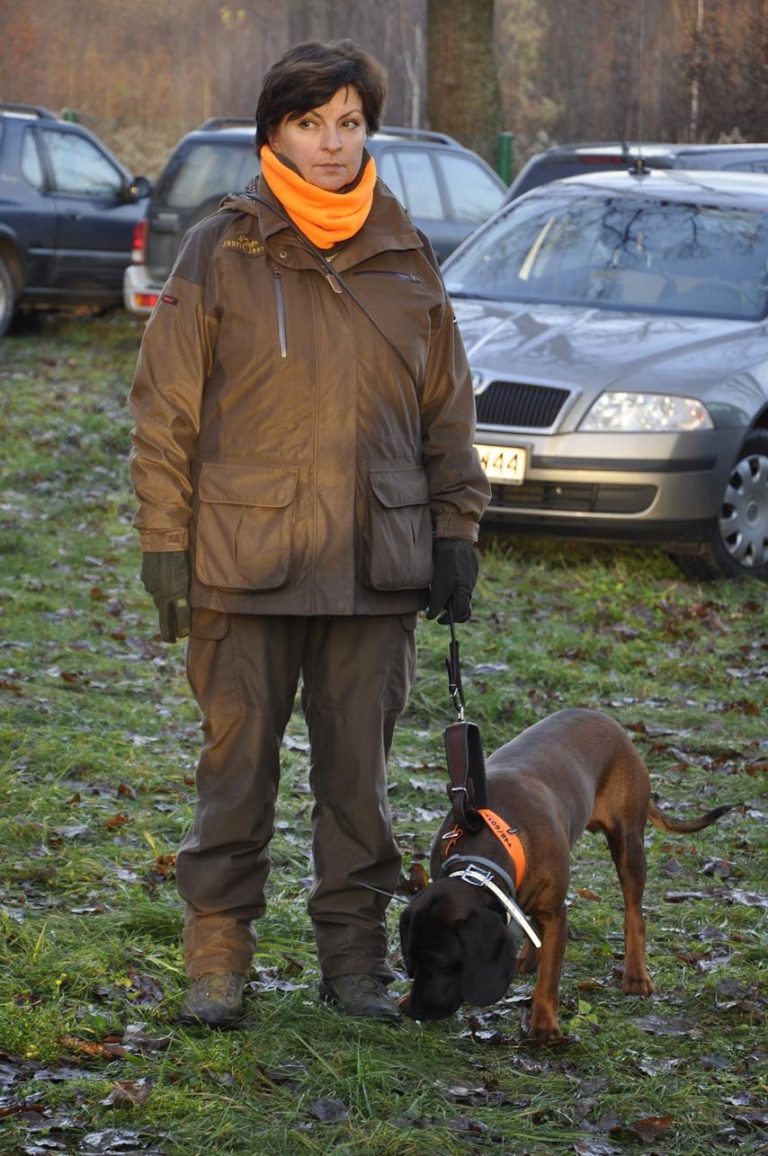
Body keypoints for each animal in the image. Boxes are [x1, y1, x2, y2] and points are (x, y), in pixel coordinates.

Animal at [397, 702, 730, 1040]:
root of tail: (605, 719)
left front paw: (544, 1025)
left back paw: (635, 975)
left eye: (441, 964)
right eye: (410, 961)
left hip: (629, 845)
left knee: (634, 915)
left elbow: (549, 976)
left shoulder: (556, 913)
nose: (413, 1011)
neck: (489, 845)